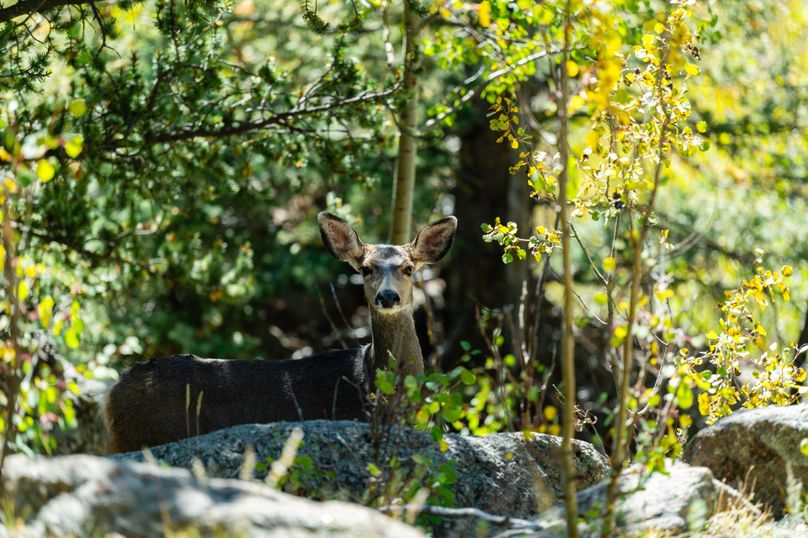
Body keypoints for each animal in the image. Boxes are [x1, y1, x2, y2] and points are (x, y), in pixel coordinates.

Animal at [104, 211, 457, 453]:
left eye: (408, 268)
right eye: (366, 268)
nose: (387, 297)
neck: (371, 382)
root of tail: (110, 393)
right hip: (140, 436)